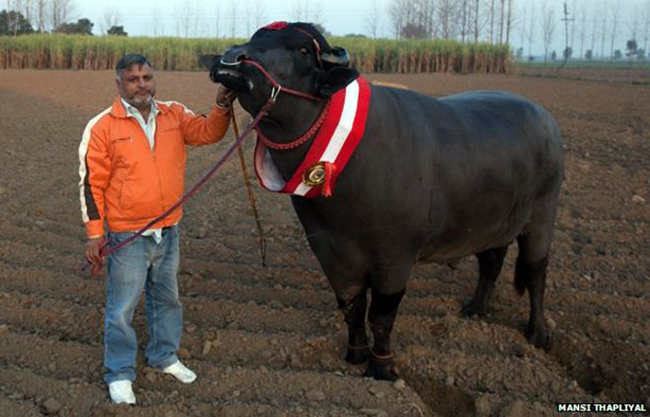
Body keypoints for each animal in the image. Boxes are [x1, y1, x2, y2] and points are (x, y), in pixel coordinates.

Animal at [201, 22, 564, 380]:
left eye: (302, 50)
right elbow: (352, 307)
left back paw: (538, 333)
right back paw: (475, 308)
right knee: (491, 262)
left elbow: (381, 315)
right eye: (255, 37)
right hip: (492, 223)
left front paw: (381, 367)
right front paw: (355, 353)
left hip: (542, 217)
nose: (231, 59)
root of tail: (545, 119)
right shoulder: (330, 253)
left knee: (536, 272)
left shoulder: (395, 258)